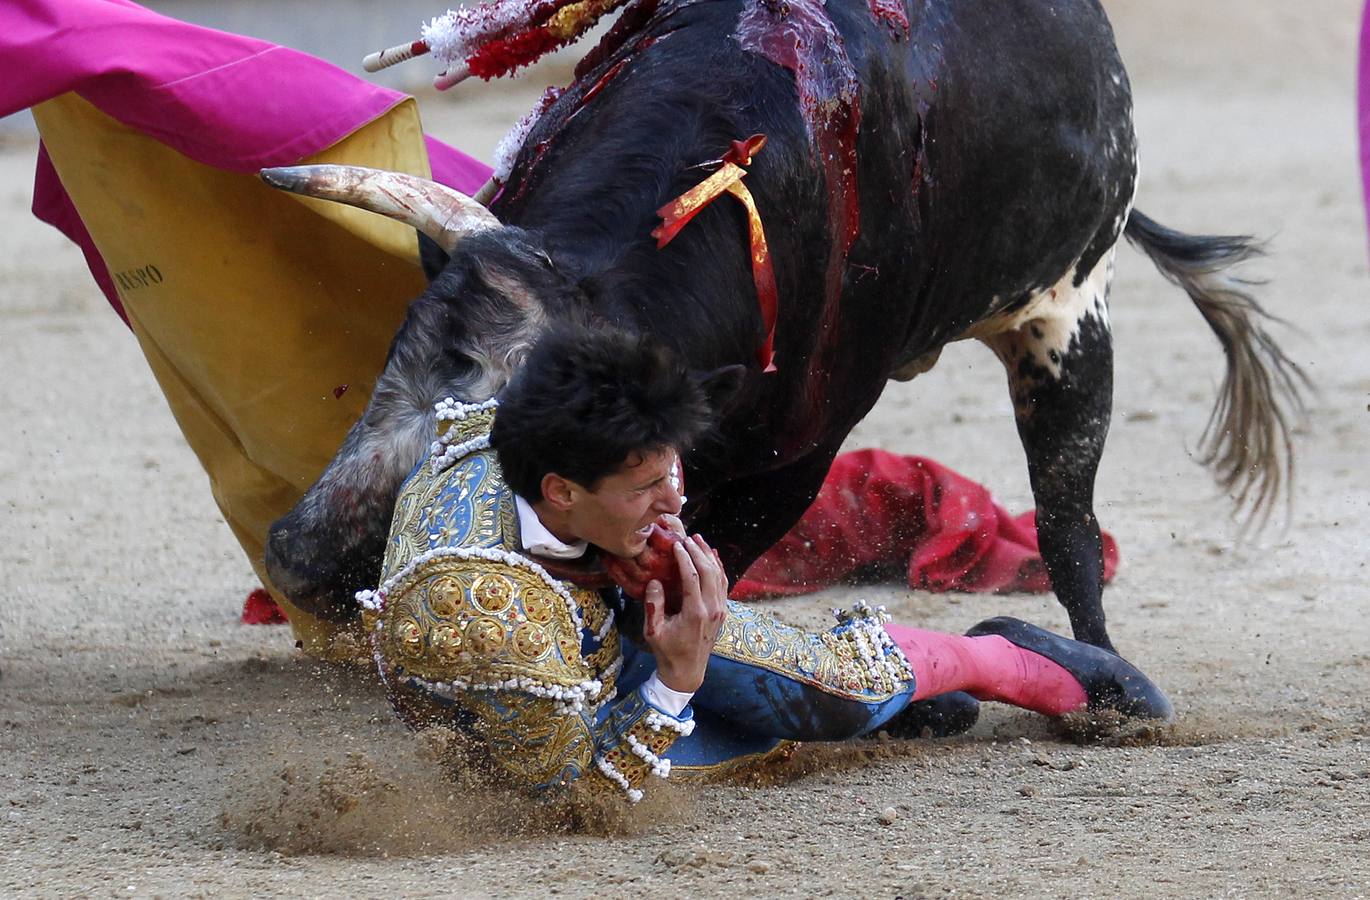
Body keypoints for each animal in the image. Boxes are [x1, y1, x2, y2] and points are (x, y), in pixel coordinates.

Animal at [254, 0, 1293, 652]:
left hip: (1068, 316)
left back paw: (1111, 688)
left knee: (1068, 521)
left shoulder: (801, 455)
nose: (300, 560)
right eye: (406, 353)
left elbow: (711, 563)